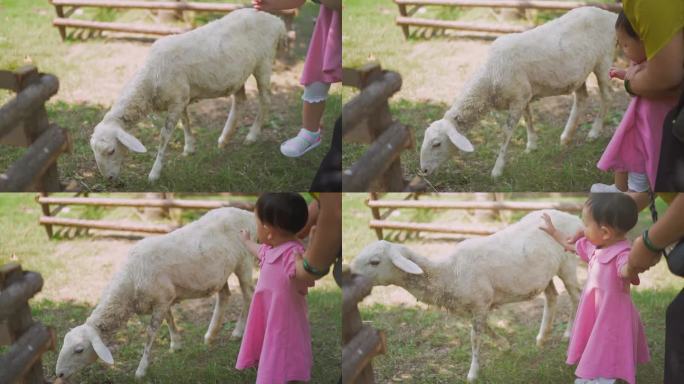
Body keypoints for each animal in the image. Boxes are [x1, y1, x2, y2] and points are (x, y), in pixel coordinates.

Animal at [55, 207, 256, 378]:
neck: (130, 281)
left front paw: (141, 369)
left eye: (79, 350)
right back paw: (211, 335)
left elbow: (150, 334)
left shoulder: (161, 300)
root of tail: (248, 215)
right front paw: (176, 345)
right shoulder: (164, 298)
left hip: (244, 262)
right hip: (220, 272)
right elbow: (170, 320)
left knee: (248, 295)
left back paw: (238, 332)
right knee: (225, 296)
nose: (59, 374)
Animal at [89, 8, 288, 182]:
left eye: (111, 151)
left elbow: (164, 136)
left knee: (265, 100)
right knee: (240, 101)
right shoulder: (181, 97)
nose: (109, 179)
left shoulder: (177, 100)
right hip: (238, 73)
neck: (150, 79)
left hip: (264, 63)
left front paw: (154, 173)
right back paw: (225, 138)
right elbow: (185, 121)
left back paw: (251, 136)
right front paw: (189, 148)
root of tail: (276, 21)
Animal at [352, 210, 584, 380]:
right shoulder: (467, 307)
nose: (350, 274)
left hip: (567, 264)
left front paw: (473, 373)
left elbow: (475, 337)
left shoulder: (481, 302)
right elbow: (487, 330)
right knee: (552, 296)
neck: (448, 272)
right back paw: (542, 338)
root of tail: (575, 218)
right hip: (544, 274)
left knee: (576, 296)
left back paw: (569, 334)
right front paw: (505, 346)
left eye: (374, 262)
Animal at [420, 7, 616, 178]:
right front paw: (531, 146)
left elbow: (506, 133)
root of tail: (610, 15)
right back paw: (566, 137)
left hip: (604, 61)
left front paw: (497, 170)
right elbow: (528, 118)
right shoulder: (523, 95)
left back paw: (593, 133)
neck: (489, 77)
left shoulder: (518, 98)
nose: (423, 171)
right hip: (579, 73)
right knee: (582, 98)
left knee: (607, 96)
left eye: (437, 144)